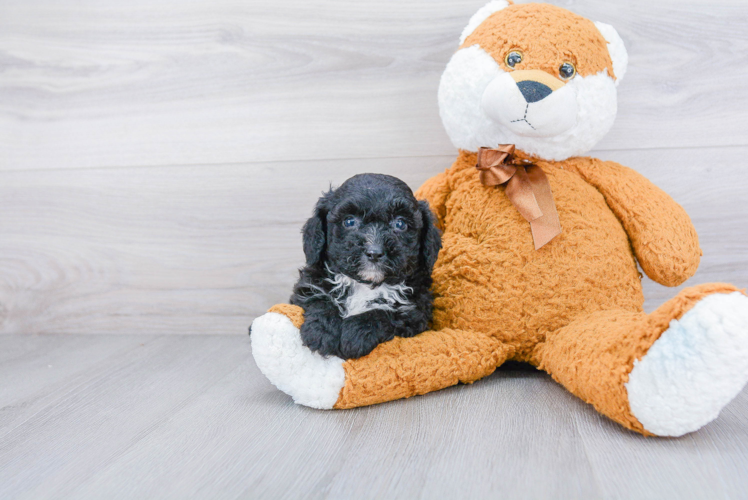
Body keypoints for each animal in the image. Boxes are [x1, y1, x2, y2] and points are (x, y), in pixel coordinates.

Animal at [290, 173, 442, 360]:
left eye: (400, 224)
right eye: (349, 221)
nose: (374, 252)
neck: (364, 284)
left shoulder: (416, 311)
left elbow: (385, 313)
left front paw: (355, 334)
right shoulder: (308, 286)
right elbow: (320, 300)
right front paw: (321, 332)